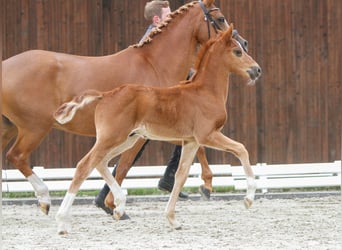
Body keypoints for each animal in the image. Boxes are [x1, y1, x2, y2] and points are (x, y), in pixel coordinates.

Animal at [54, 24, 260, 232]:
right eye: (237, 52)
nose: (257, 70)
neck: (205, 92)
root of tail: (106, 95)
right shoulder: (207, 135)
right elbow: (241, 149)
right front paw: (248, 199)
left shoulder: (191, 141)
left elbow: (181, 175)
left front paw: (172, 219)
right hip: (111, 138)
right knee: (84, 165)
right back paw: (62, 221)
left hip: (126, 140)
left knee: (100, 163)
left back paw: (119, 207)